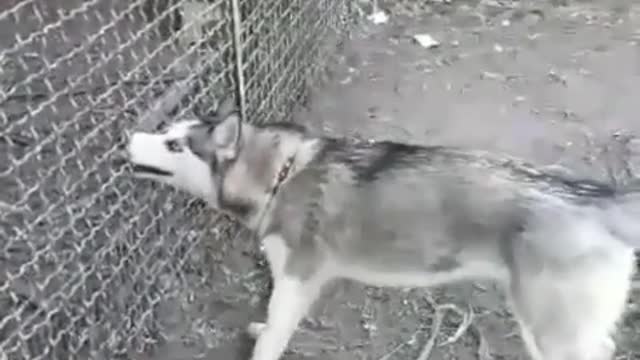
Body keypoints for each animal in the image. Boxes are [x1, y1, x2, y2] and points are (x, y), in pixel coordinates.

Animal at [127, 99, 636, 360]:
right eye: (167, 132)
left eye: (175, 145)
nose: (128, 138)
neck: (279, 175)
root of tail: (601, 198)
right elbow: (271, 323)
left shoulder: (296, 276)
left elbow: (274, 332)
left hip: (551, 331)